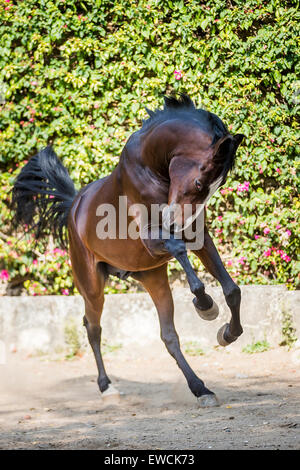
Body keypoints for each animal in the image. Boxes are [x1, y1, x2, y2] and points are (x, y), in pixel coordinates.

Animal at [12, 92, 244, 408]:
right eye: (199, 182)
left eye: (215, 188)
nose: (175, 222)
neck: (150, 166)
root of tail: (74, 205)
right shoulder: (153, 238)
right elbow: (179, 250)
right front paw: (206, 305)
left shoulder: (200, 237)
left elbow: (232, 289)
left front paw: (227, 333)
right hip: (92, 286)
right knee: (93, 328)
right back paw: (106, 387)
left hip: (153, 278)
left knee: (169, 336)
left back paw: (201, 389)